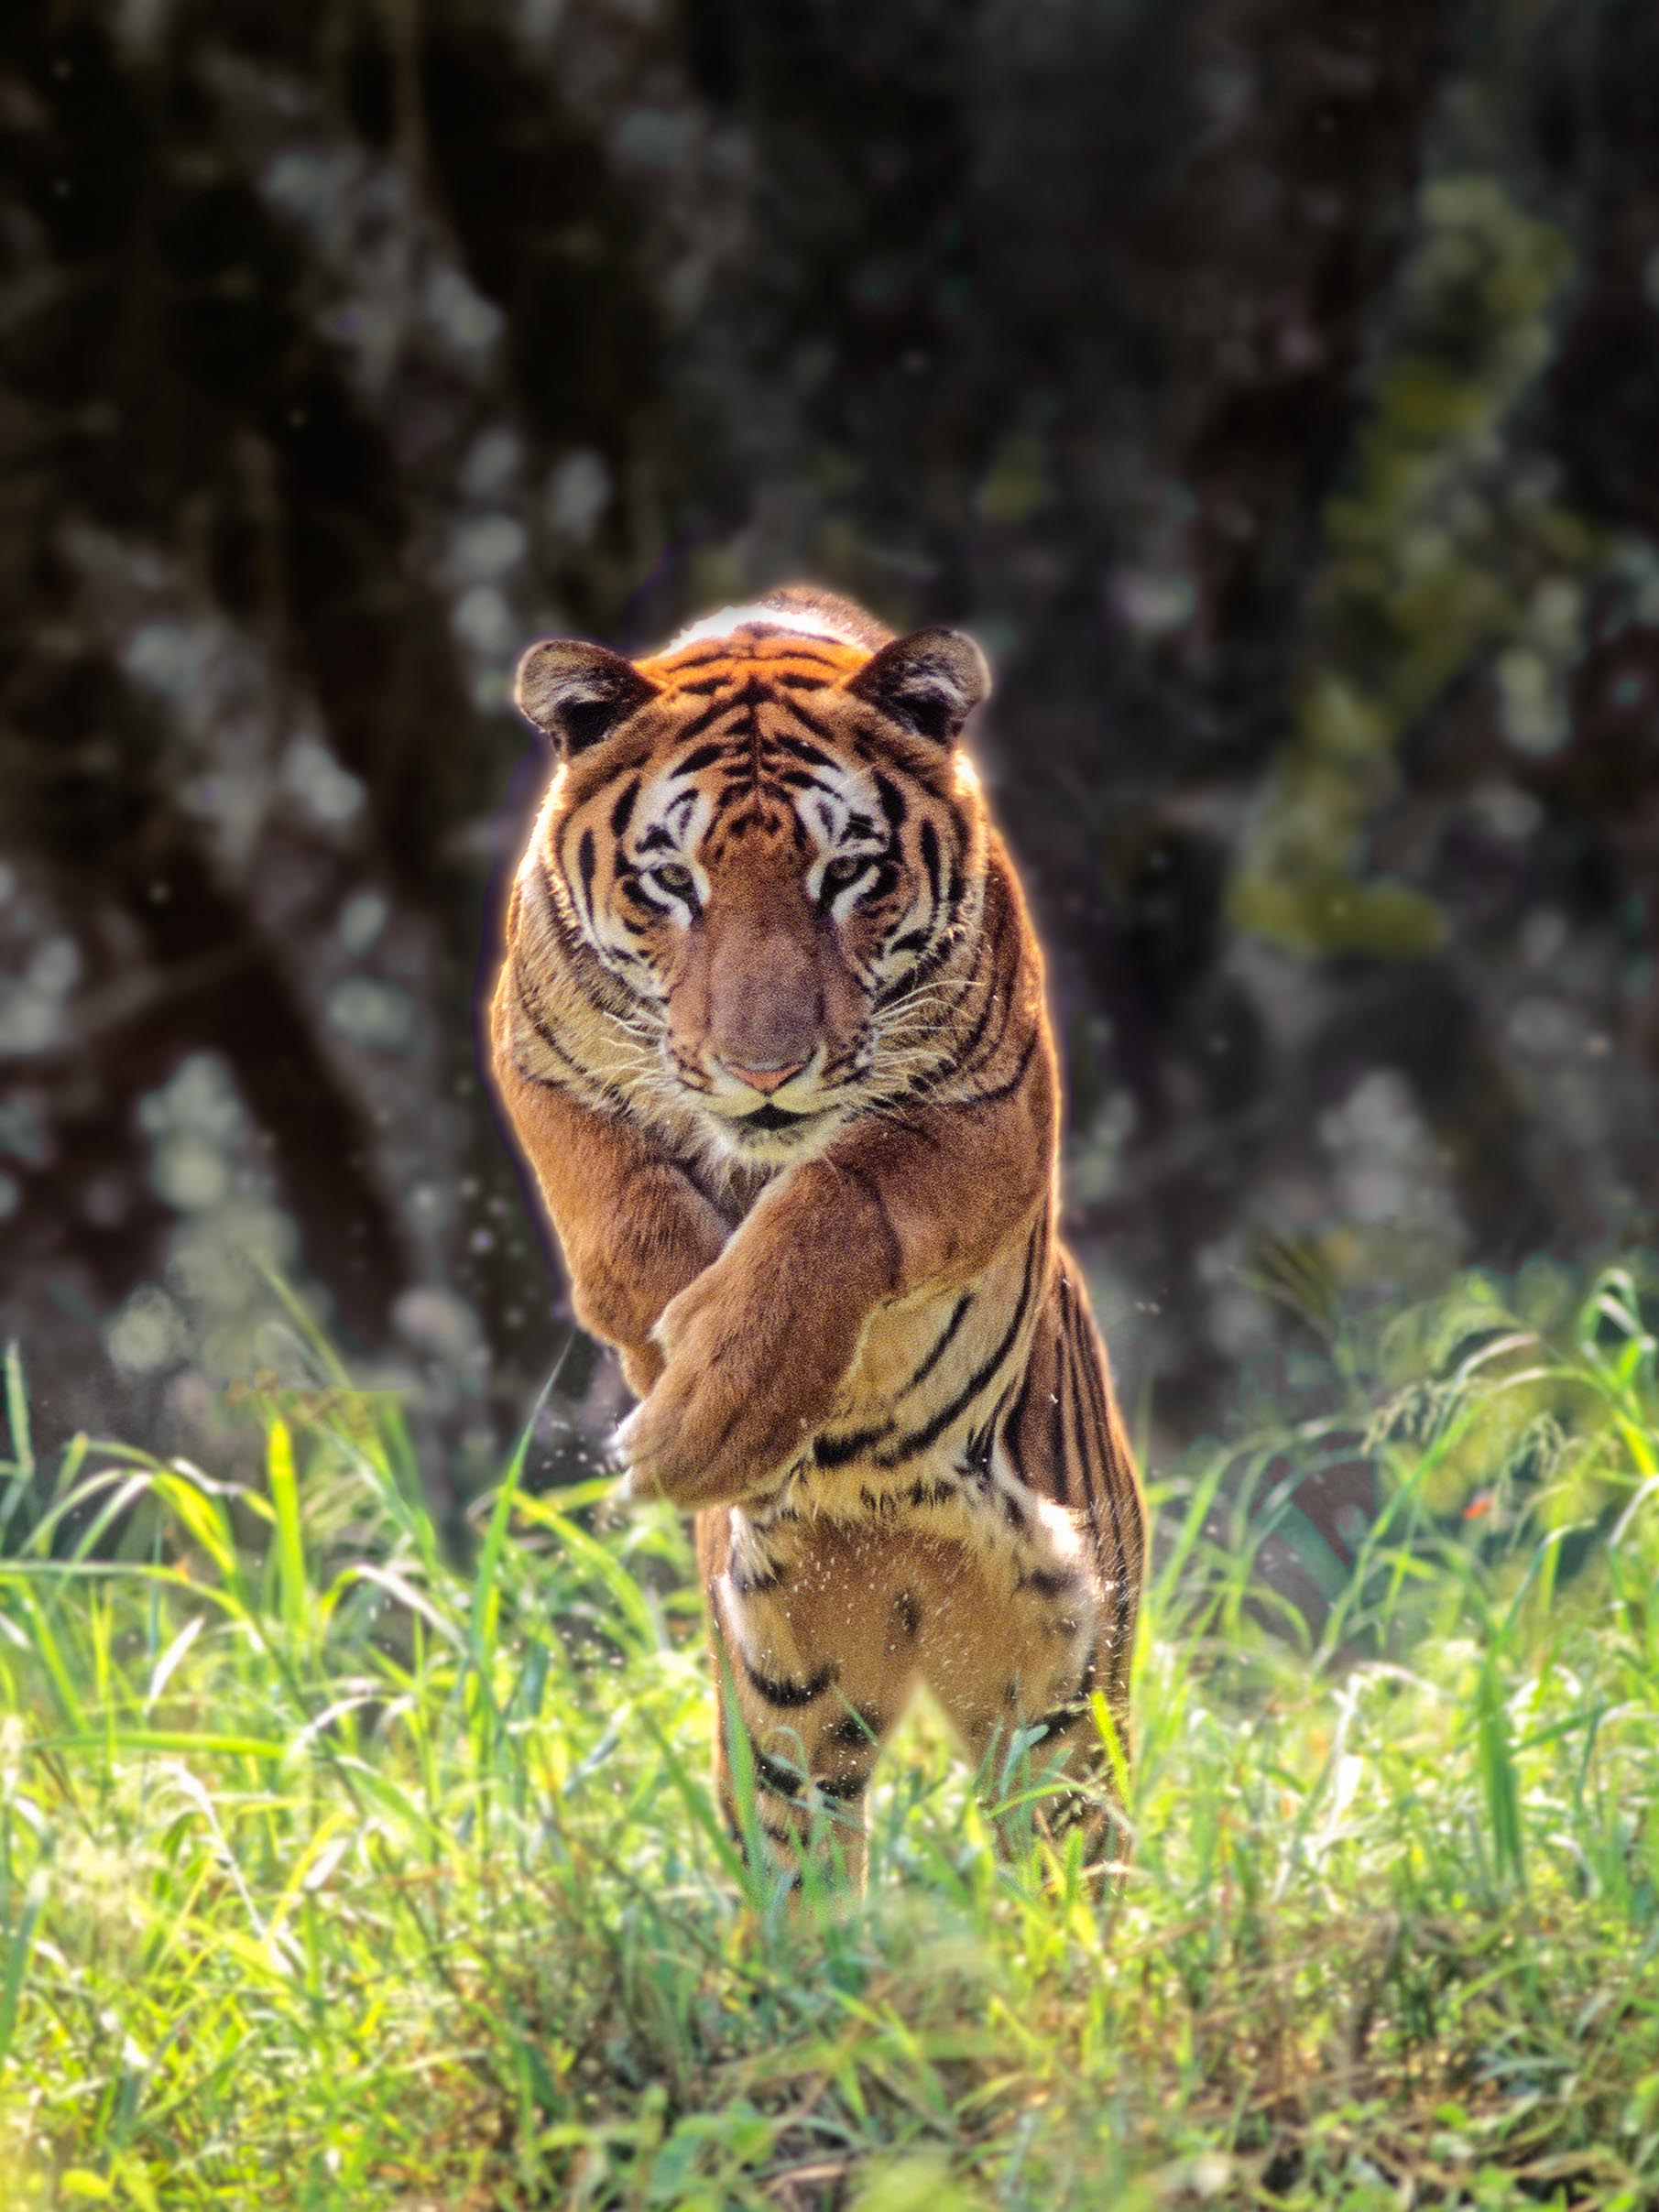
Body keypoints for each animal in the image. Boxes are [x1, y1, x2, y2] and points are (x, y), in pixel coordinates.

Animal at [490, 584, 1145, 1885]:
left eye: (847, 872)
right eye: (671, 882)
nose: (763, 1071)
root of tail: (900, 1558)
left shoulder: (987, 1111)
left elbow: (834, 1203)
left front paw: (719, 1407)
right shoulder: (534, 1053)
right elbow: (623, 1213)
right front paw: (675, 1387)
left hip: (1059, 1685)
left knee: (1064, 1853)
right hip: (790, 1689)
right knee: (801, 1857)